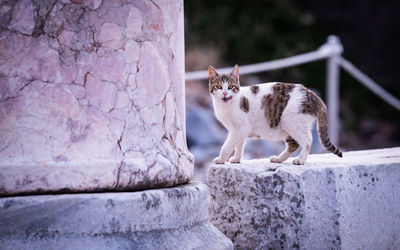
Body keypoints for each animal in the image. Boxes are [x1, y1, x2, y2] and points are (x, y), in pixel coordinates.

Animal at [208, 64, 342, 165]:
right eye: (219, 86)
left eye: (231, 86)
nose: (225, 93)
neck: (226, 106)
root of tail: (314, 96)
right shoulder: (238, 130)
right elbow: (239, 145)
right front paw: (236, 159)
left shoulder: (241, 127)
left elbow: (227, 146)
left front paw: (221, 159)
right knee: (293, 144)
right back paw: (278, 159)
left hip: (291, 120)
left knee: (307, 141)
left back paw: (300, 160)